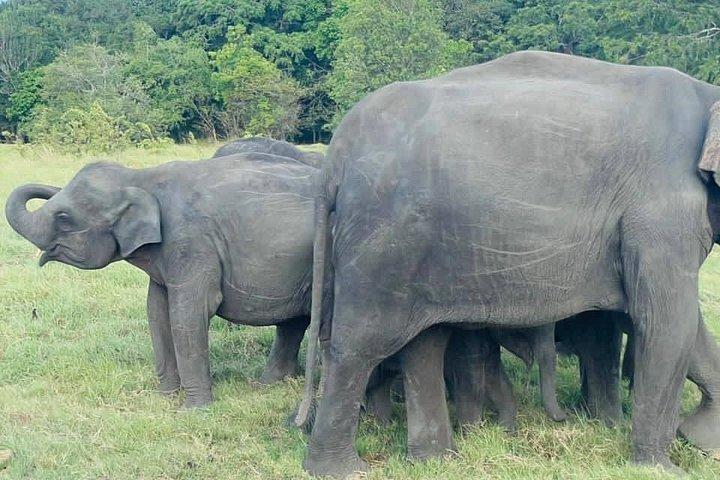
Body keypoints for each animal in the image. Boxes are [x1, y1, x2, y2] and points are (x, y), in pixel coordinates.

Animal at [5, 152, 320, 408]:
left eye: (64, 218)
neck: (140, 177)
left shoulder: (192, 243)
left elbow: (187, 315)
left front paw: (194, 410)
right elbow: (156, 314)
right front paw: (165, 397)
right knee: (293, 323)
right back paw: (269, 384)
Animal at [299, 51, 720, 477]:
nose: (561, 419)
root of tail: (334, 157)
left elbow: (684, 326)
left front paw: (703, 441)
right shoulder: (659, 215)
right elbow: (667, 322)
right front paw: (663, 467)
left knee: (423, 345)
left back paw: (437, 458)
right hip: (382, 241)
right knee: (360, 343)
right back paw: (340, 468)